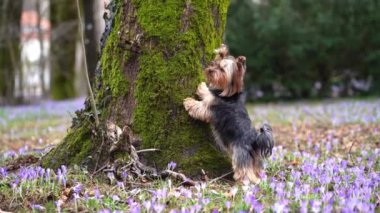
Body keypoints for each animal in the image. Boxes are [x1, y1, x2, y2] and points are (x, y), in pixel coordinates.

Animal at [183, 45, 274, 183]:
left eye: (222, 70)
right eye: (214, 64)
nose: (210, 69)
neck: (230, 95)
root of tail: (255, 140)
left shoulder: (211, 109)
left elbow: (200, 107)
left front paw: (189, 101)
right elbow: (208, 93)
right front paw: (203, 86)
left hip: (239, 153)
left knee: (245, 170)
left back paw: (244, 180)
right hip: (255, 158)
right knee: (256, 169)